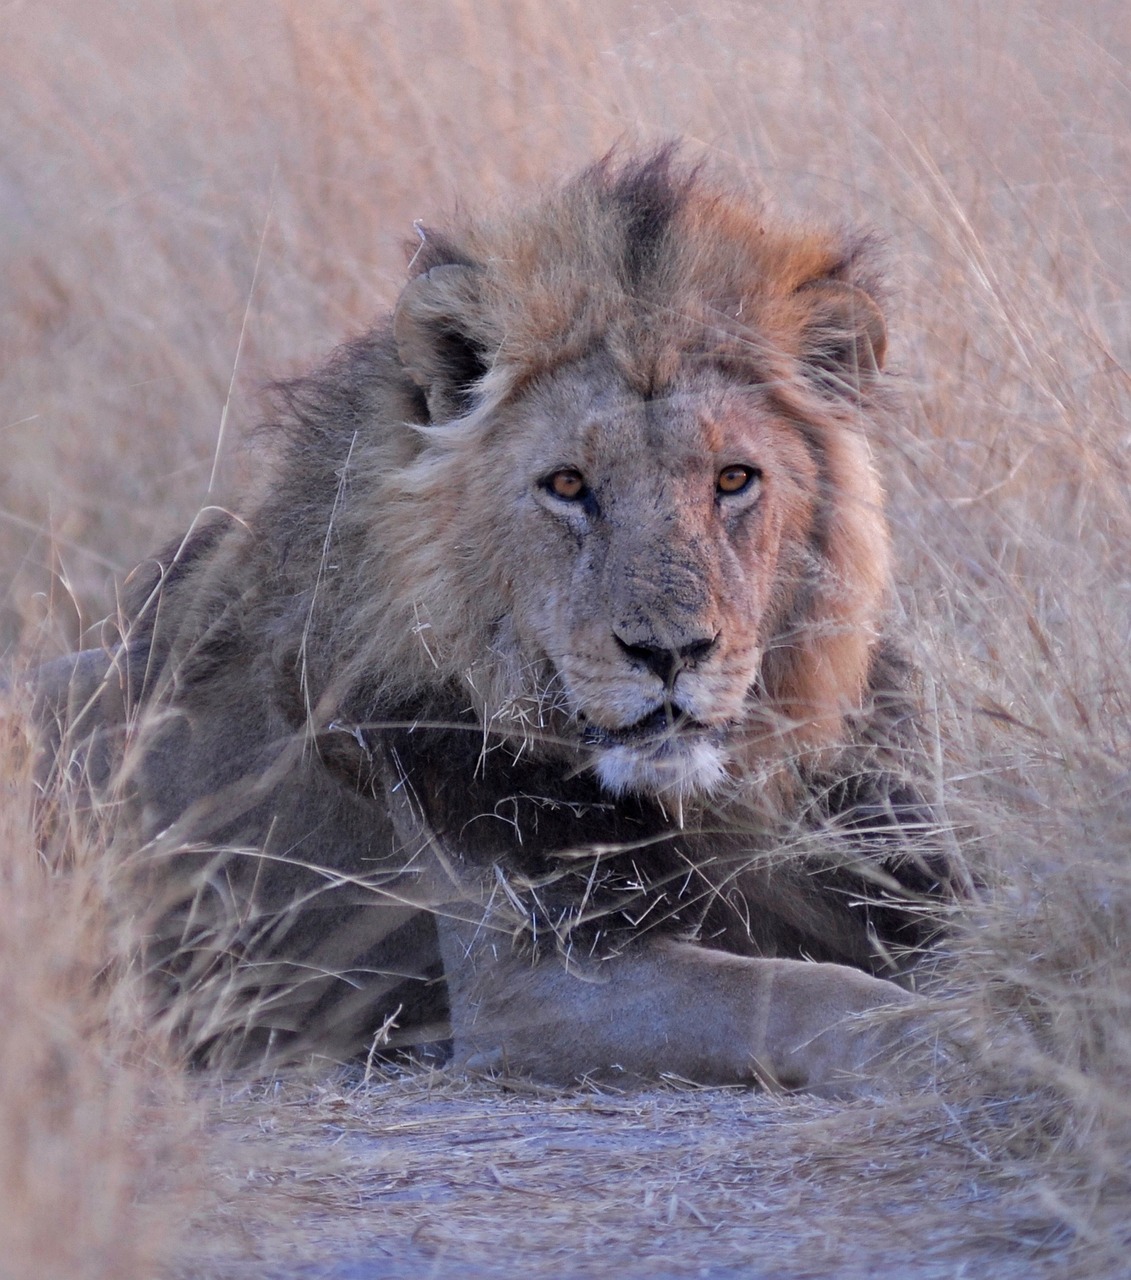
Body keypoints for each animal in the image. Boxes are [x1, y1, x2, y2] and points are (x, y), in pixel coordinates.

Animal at [35, 148, 959, 1095]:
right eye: (567, 485)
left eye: (733, 479)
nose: (671, 653)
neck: (713, 804)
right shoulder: (525, 983)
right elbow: (788, 992)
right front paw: (941, 1038)